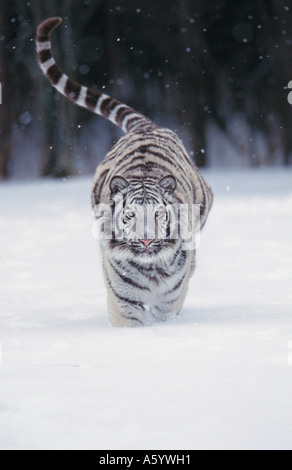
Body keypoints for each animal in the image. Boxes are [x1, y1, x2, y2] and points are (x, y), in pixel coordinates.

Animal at [37, 17, 214, 326]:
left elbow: (168, 308)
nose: (145, 239)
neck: (150, 266)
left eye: (158, 214)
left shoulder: (169, 300)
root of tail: (146, 126)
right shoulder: (124, 300)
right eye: (130, 215)